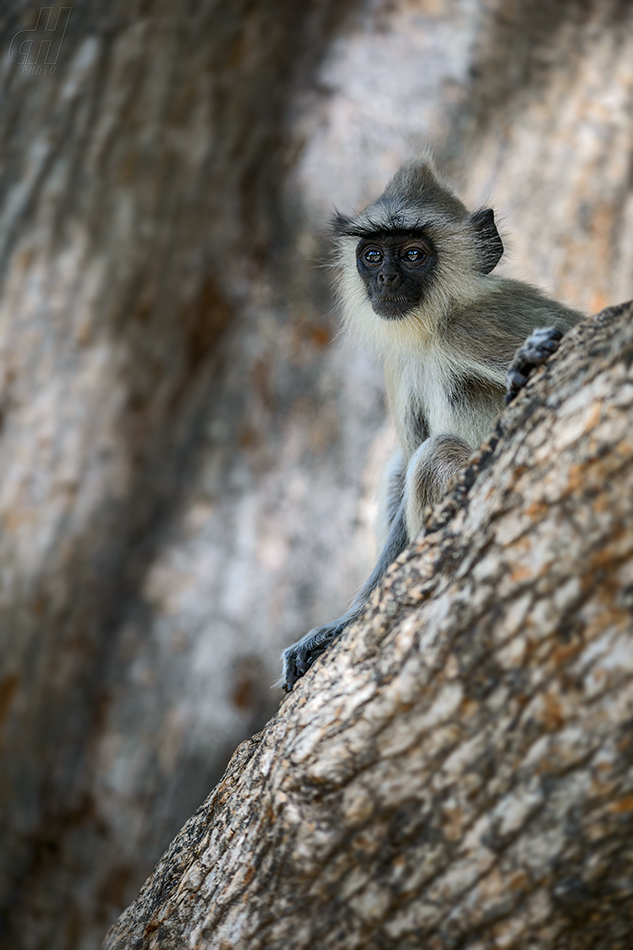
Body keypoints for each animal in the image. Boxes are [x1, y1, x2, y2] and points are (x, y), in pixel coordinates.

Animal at [282, 154, 584, 692]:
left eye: (414, 254)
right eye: (373, 256)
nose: (385, 281)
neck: (434, 326)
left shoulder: (475, 327)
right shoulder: (399, 366)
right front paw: (340, 626)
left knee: (433, 454)